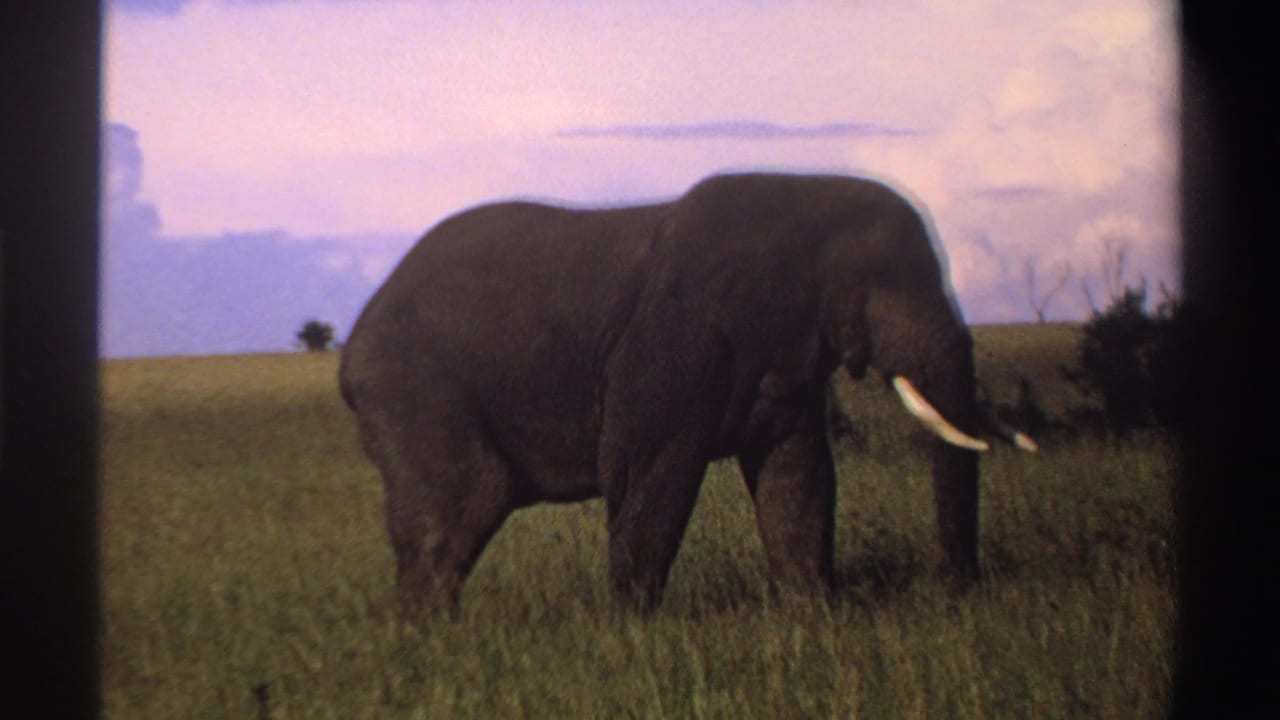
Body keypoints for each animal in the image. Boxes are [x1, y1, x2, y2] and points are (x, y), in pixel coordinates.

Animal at [339, 172, 1035, 618]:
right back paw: (431, 642)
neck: (801, 199)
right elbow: (652, 473)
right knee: (460, 508)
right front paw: (630, 634)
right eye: (884, 285)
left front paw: (814, 619)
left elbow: (798, 477)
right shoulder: (671, 342)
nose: (959, 593)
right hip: (413, 388)